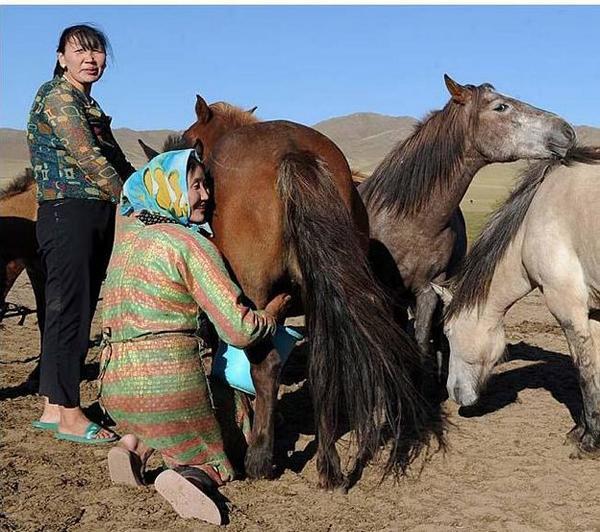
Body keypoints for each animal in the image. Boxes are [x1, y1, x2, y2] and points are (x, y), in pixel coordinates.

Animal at [144, 96, 446, 490]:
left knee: (263, 364)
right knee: (324, 364)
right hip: (322, 297)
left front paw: (248, 428)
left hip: (255, 292)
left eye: (194, 139)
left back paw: (259, 458)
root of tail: (293, 153)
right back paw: (328, 465)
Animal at [356, 75, 576, 374]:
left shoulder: (429, 289)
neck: (409, 222)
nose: (567, 131)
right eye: (500, 106)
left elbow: (422, 342)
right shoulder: (386, 291)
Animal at [432, 147, 600, 458]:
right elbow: (595, 365)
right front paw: (584, 429)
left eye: (447, 333)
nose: (454, 394)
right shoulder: (593, 311)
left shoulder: (568, 308)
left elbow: (583, 369)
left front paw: (589, 439)